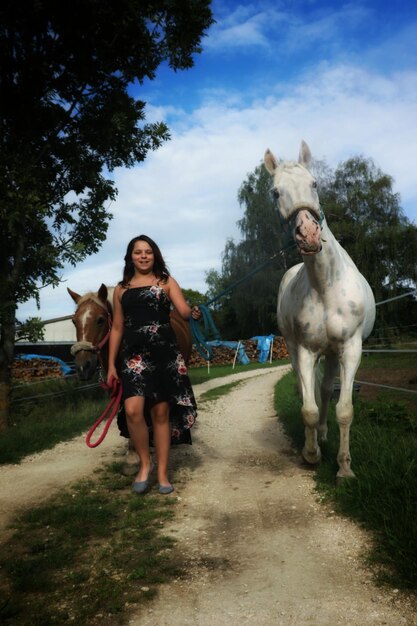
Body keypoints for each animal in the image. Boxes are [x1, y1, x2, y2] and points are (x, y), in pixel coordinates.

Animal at [264, 141, 376, 480]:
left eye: (314, 183)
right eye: (275, 192)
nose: (309, 235)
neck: (326, 285)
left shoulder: (351, 348)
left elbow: (344, 409)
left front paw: (345, 469)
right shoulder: (304, 350)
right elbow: (309, 408)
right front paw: (311, 453)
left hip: (333, 353)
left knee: (326, 390)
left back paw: (327, 436)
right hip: (300, 349)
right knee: (313, 391)